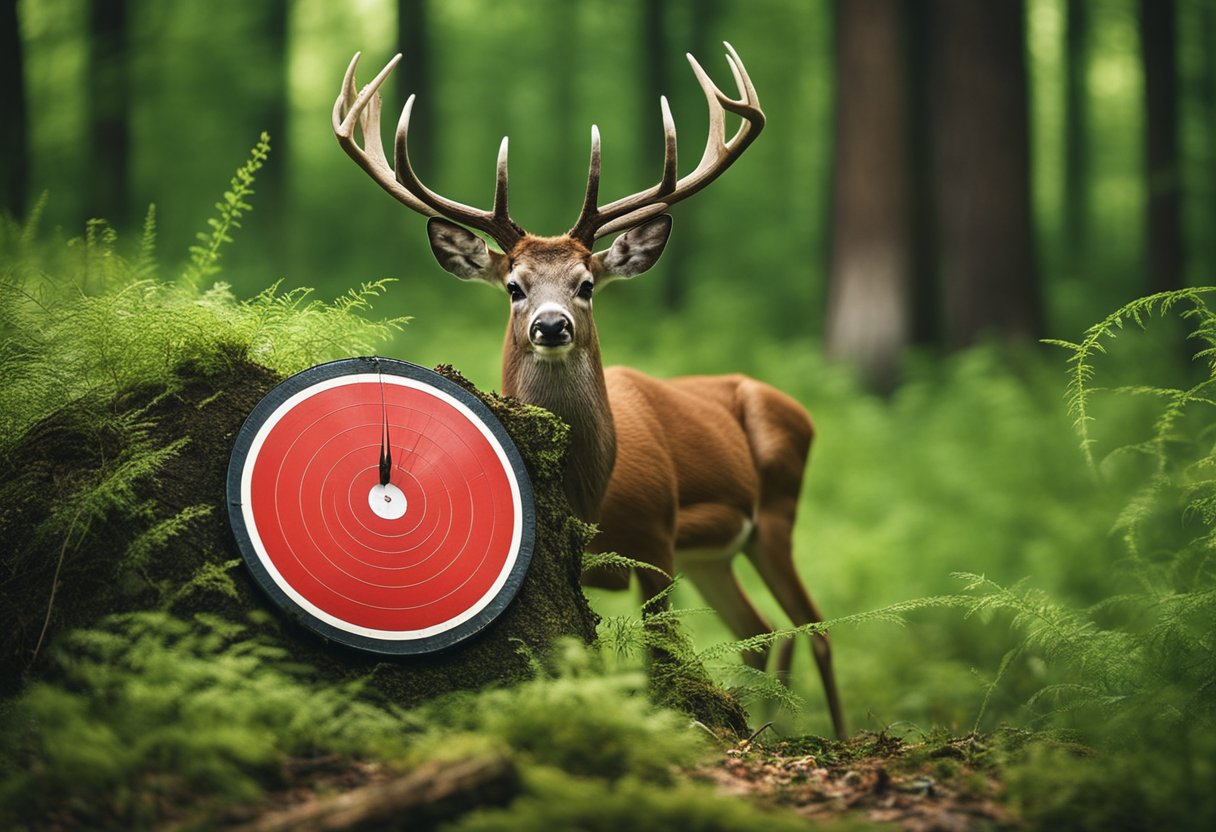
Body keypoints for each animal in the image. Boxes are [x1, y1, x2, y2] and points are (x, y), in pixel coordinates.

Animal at [333, 45, 846, 739]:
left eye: (586, 283)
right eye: (514, 286)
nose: (552, 325)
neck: (591, 494)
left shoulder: (657, 536)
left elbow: (662, 660)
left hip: (777, 514)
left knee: (814, 629)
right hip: (715, 555)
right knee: (763, 629)